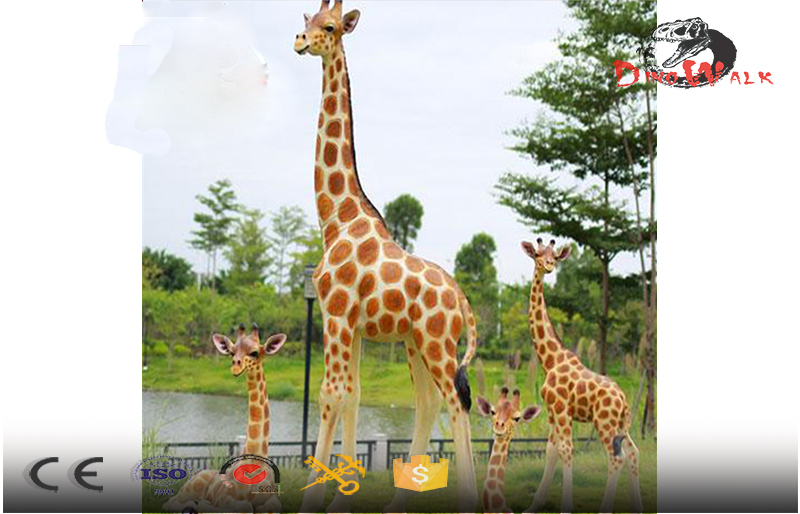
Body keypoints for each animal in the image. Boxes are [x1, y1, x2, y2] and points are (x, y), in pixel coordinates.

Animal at [163, 323, 285, 514]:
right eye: (231, 352)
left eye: (255, 352)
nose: (235, 367)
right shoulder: (225, 498)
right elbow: (243, 506)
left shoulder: (273, 500)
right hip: (189, 488)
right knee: (170, 502)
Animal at [293, 2, 479, 512]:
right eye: (304, 19)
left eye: (329, 27)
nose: (300, 42)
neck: (336, 219)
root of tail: (463, 301)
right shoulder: (352, 324)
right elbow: (353, 396)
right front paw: (343, 492)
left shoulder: (336, 314)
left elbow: (331, 394)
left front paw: (314, 497)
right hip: (415, 343)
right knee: (429, 404)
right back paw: (404, 496)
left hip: (437, 344)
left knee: (457, 406)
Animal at [520, 239, 644, 514]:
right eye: (537, 254)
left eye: (555, 255)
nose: (549, 266)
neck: (551, 360)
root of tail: (624, 400)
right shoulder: (553, 411)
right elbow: (551, 450)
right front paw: (533, 507)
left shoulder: (560, 409)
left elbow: (566, 450)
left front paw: (566, 507)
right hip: (621, 425)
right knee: (633, 452)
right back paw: (638, 508)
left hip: (604, 422)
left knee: (616, 457)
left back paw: (604, 509)